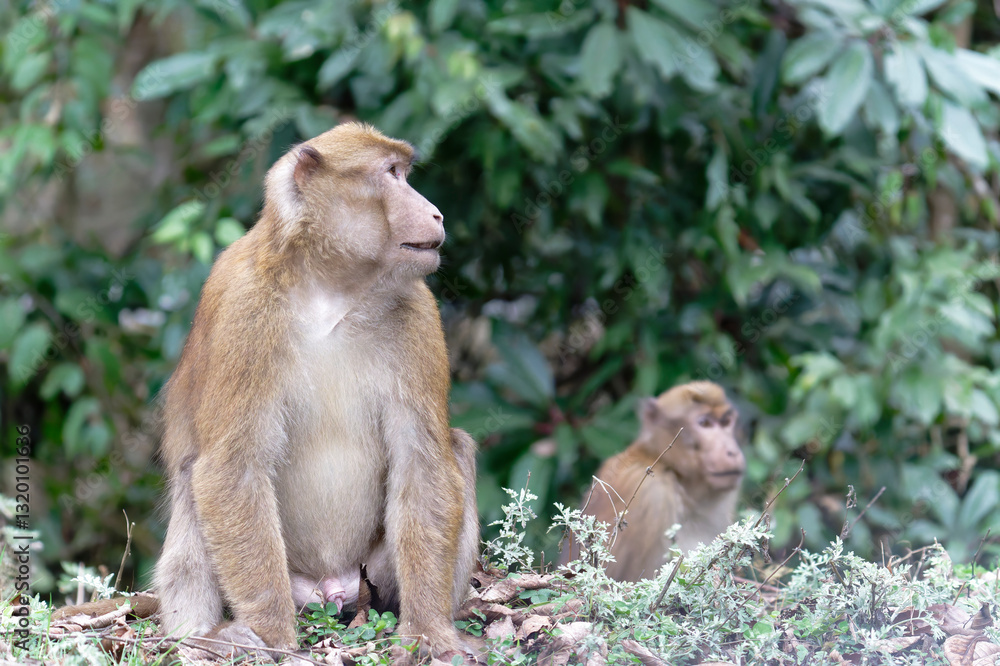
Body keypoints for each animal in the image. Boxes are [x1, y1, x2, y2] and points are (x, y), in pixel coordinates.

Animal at [148, 122, 480, 659]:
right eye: (391, 174)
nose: (435, 213)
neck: (330, 289)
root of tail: (329, 586)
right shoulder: (243, 309)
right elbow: (231, 469)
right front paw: (277, 642)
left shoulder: (417, 310)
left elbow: (424, 460)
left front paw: (429, 633)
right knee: (192, 472)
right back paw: (208, 634)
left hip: (373, 576)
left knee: (457, 447)